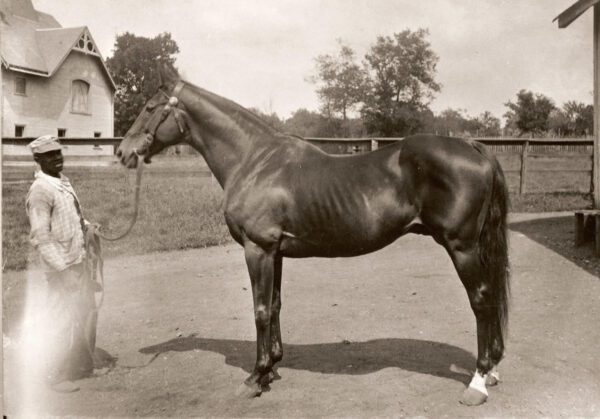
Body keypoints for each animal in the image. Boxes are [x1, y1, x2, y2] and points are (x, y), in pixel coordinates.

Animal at [117, 65, 510, 406]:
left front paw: (254, 377)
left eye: (149, 107)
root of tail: (473, 147)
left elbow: (260, 310)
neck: (254, 160)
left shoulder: (257, 249)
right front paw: (271, 368)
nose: (122, 152)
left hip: (462, 247)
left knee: (481, 300)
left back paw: (478, 383)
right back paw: (491, 371)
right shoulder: (274, 251)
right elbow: (275, 305)